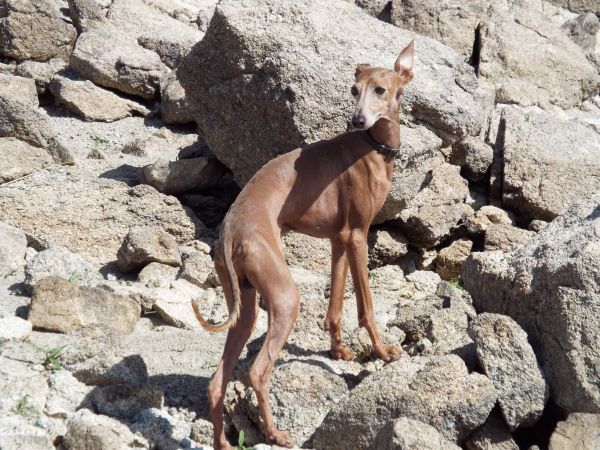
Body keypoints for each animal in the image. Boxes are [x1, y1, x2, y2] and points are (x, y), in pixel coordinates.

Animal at [192, 40, 412, 448]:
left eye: (380, 90)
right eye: (354, 90)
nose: (357, 120)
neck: (372, 146)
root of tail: (229, 230)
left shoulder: (339, 240)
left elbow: (335, 305)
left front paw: (338, 350)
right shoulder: (358, 236)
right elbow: (366, 308)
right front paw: (384, 352)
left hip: (245, 306)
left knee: (216, 382)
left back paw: (224, 442)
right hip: (284, 298)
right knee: (257, 371)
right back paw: (276, 433)